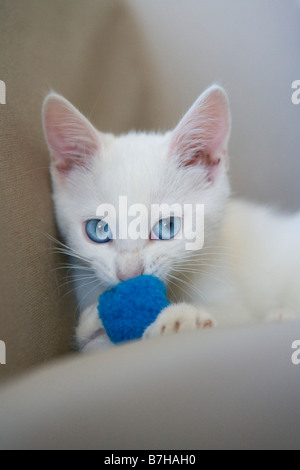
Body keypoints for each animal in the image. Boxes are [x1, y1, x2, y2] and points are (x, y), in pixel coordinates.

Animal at [42, 85, 300, 352]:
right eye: (99, 229)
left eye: (167, 226)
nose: (129, 275)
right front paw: (94, 324)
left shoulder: (228, 287)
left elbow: (234, 314)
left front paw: (182, 318)